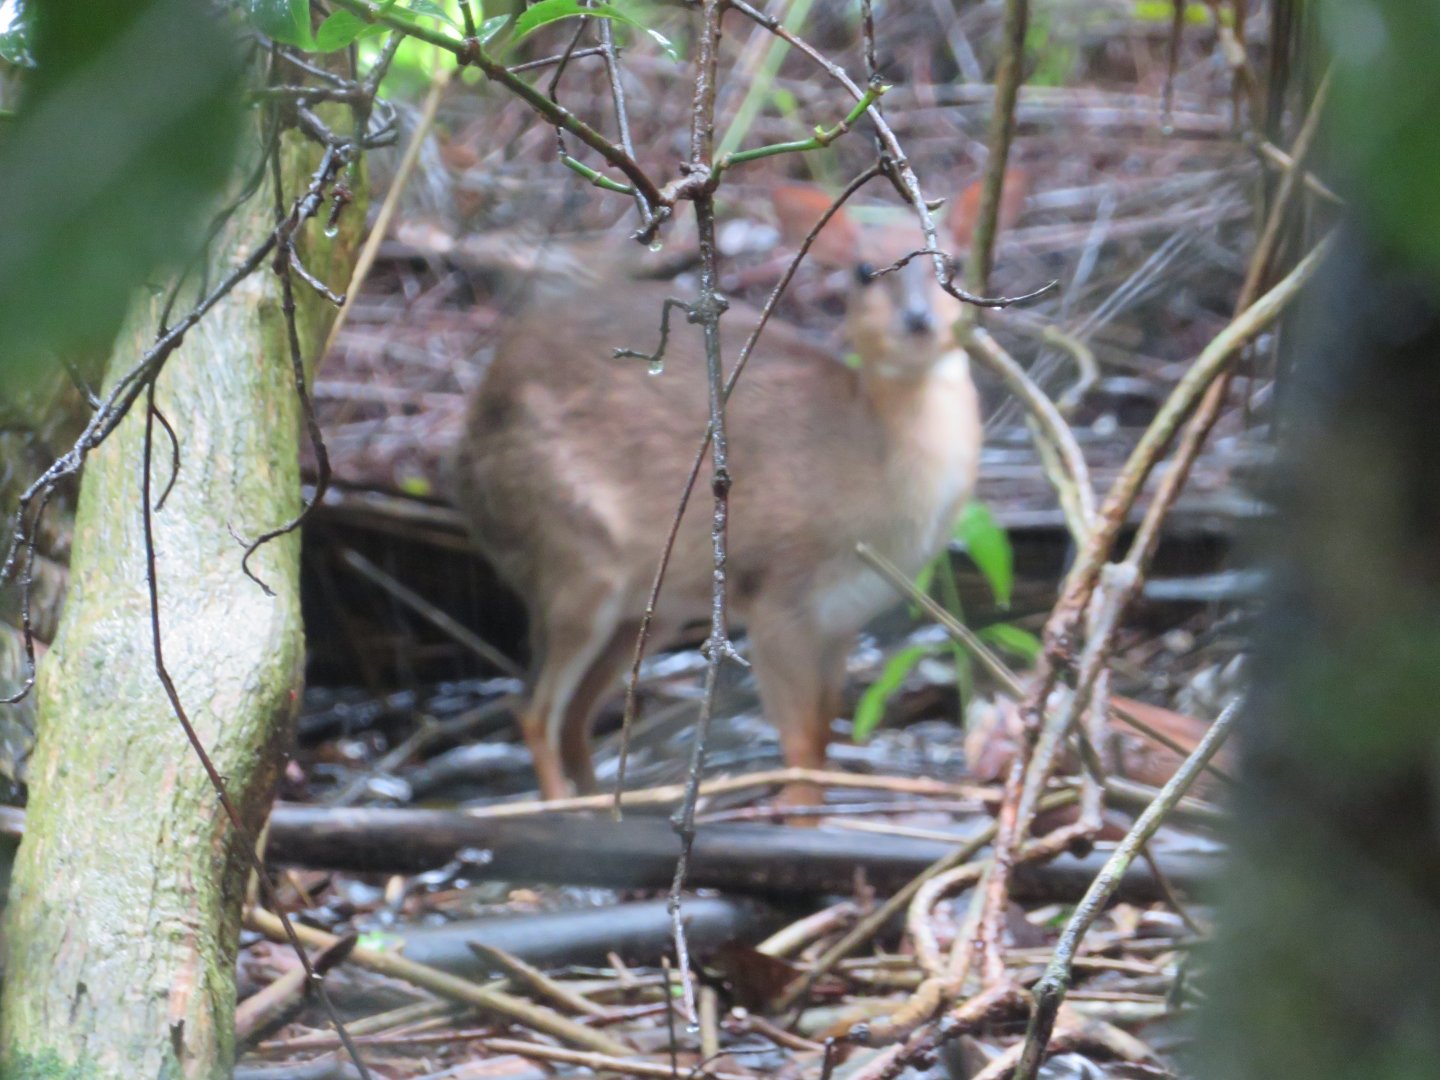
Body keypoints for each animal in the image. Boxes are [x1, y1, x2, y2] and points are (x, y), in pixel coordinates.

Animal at [451, 175, 1026, 804]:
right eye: (863, 271)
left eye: (953, 262)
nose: (919, 319)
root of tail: (465, 447)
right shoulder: (778, 597)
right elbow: (800, 747)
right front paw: (799, 812)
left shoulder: (844, 617)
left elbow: (823, 733)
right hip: (573, 558)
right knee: (533, 709)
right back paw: (557, 808)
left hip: (648, 607)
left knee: (577, 713)